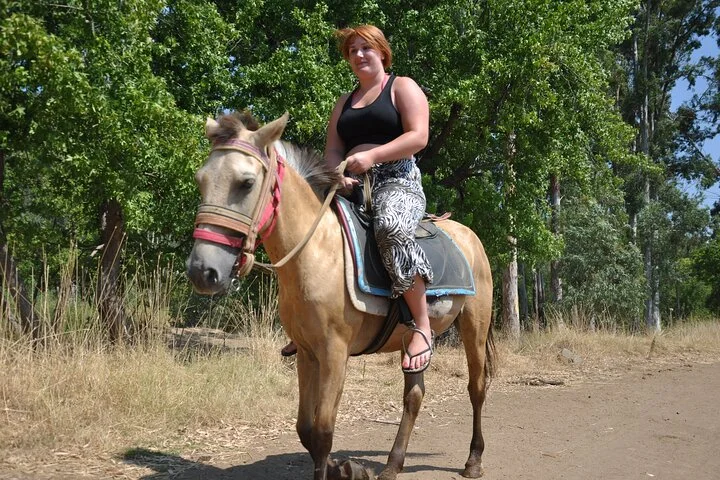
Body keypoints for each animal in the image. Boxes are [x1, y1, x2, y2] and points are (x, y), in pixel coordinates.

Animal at [186, 111, 495, 480]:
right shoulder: (306, 352)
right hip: (414, 342)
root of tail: (470, 237)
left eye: (245, 183)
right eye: (201, 180)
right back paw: (392, 465)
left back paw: (474, 459)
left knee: (476, 388)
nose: (202, 271)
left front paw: (342, 468)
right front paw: (345, 468)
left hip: (474, 326)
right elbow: (305, 429)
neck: (319, 250)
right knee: (414, 395)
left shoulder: (335, 352)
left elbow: (322, 430)